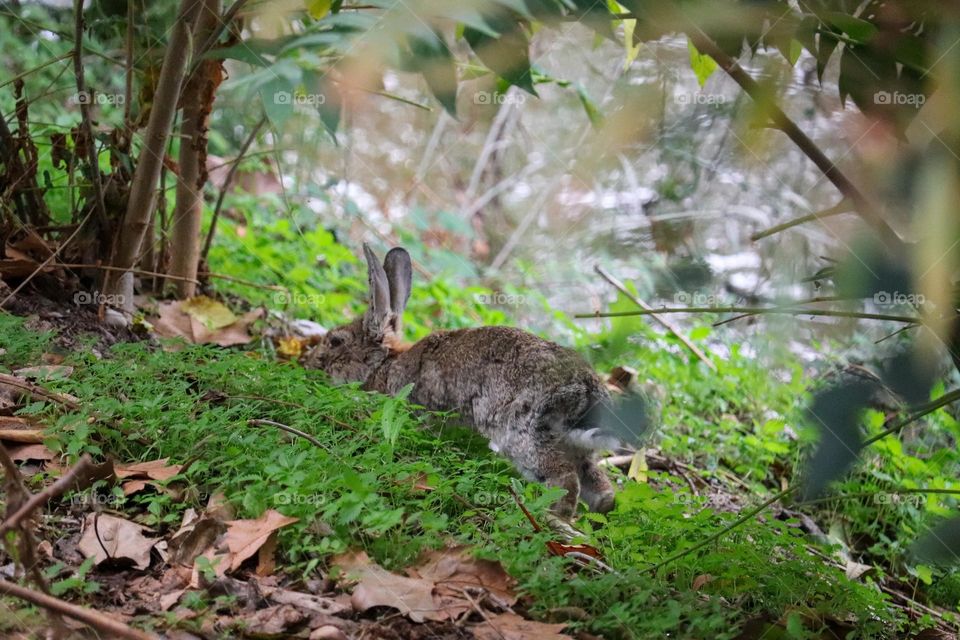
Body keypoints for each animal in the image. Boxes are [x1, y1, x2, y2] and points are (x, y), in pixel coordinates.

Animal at [304, 245, 656, 520]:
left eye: (335, 341)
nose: (310, 362)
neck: (385, 362)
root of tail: (586, 393)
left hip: (524, 433)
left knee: (564, 479)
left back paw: (552, 519)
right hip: (578, 449)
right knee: (602, 490)